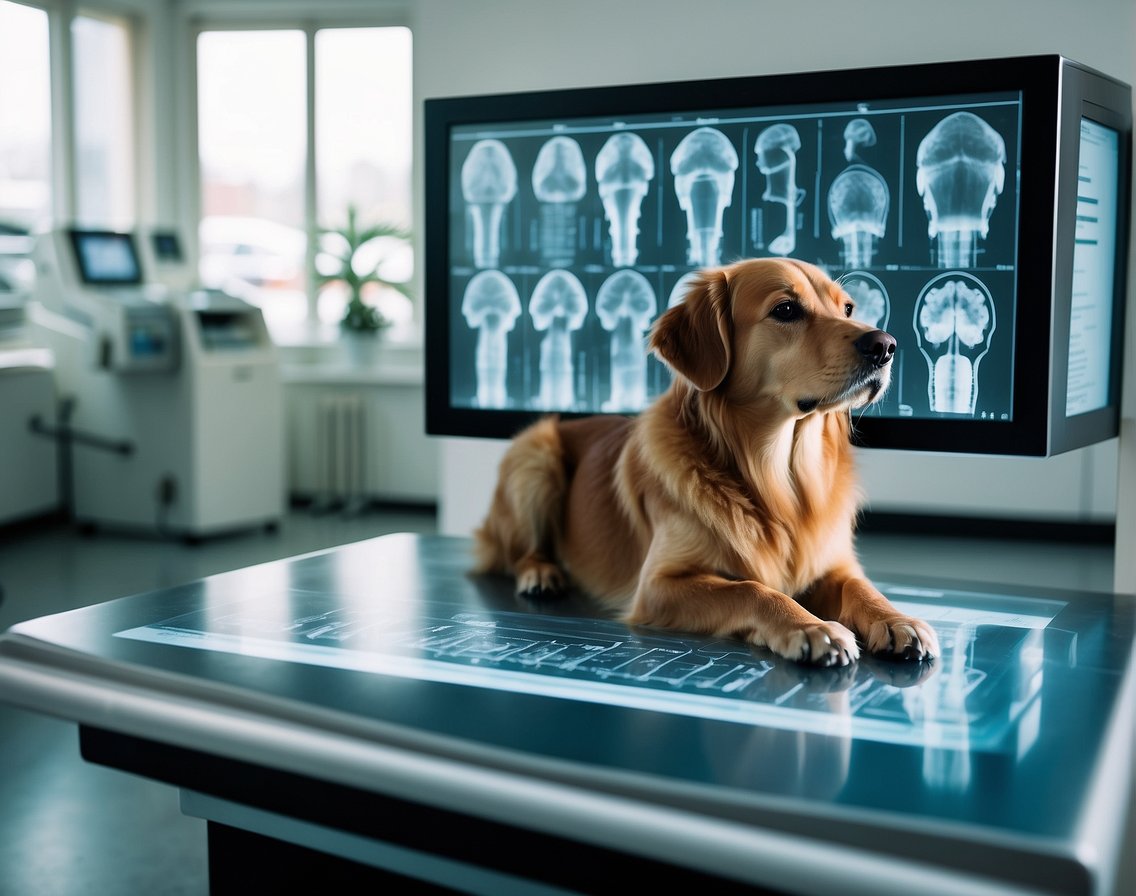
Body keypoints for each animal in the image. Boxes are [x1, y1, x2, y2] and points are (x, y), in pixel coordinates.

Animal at [472, 258, 940, 663]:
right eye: (786, 309)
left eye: (847, 308)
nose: (885, 345)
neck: (776, 477)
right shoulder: (658, 585)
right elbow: (751, 589)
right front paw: (811, 627)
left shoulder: (834, 563)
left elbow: (861, 588)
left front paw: (897, 619)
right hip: (535, 455)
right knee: (516, 551)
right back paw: (540, 573)